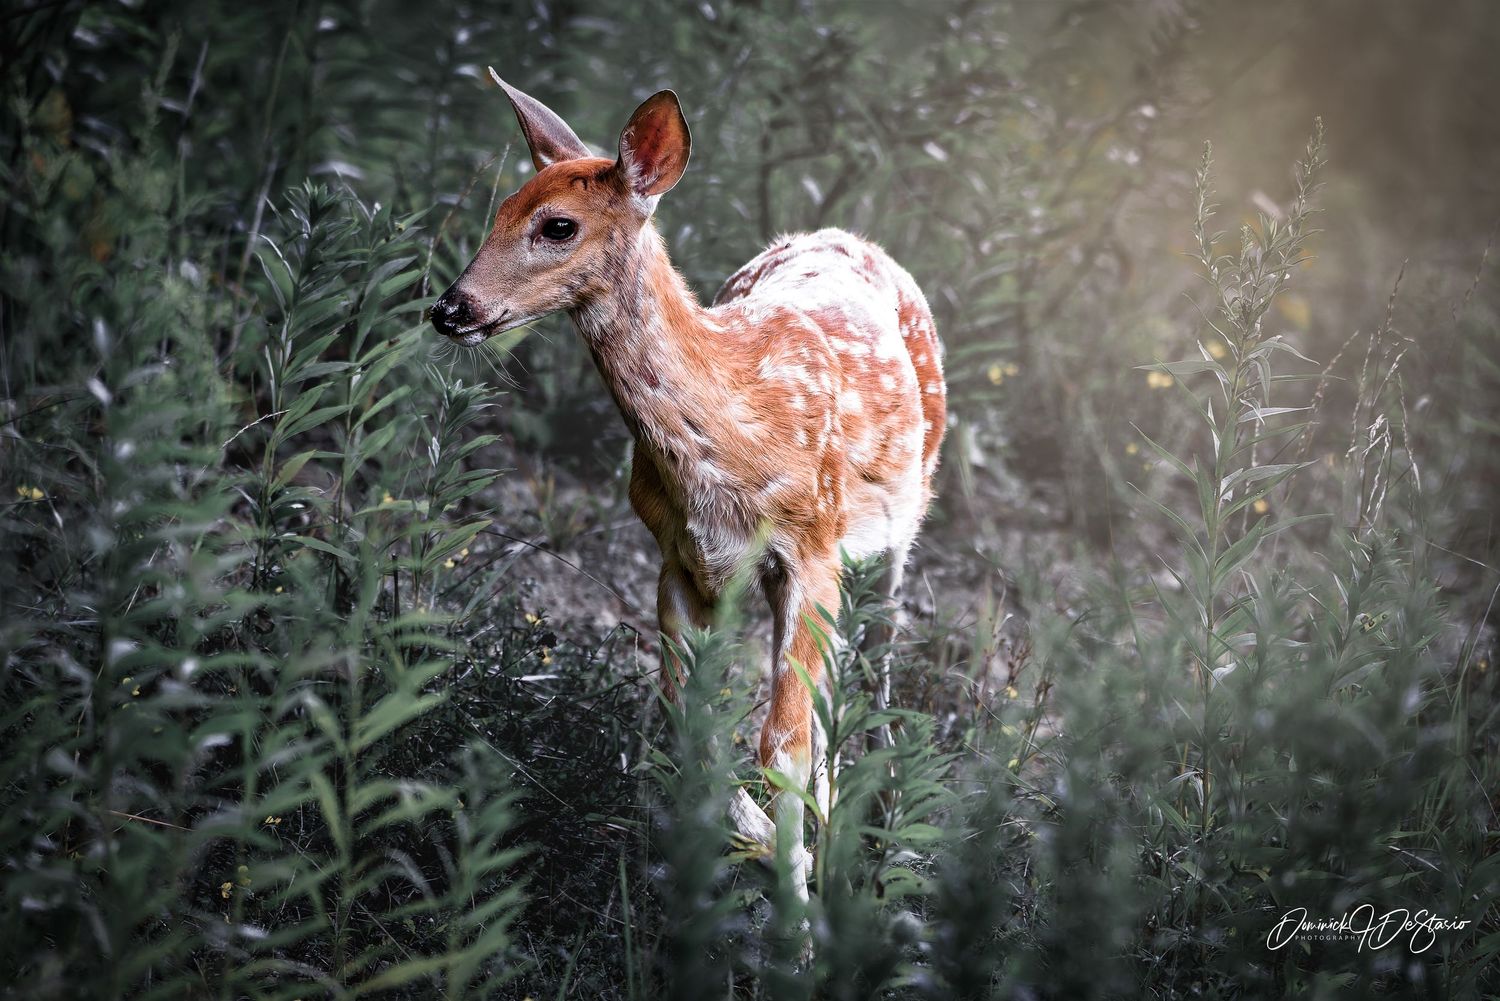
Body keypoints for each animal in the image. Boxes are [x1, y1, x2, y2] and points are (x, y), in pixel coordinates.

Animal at [430, 72, 946, 902]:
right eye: (500, 208)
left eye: (557, 225)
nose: (451, 308)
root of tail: (847, 235)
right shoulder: (681, 557)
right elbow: (690, 722)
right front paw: (765, 845)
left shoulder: (811, 545)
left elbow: (781, 744)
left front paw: (800, 910)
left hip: (900, 523)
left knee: (879, 656)